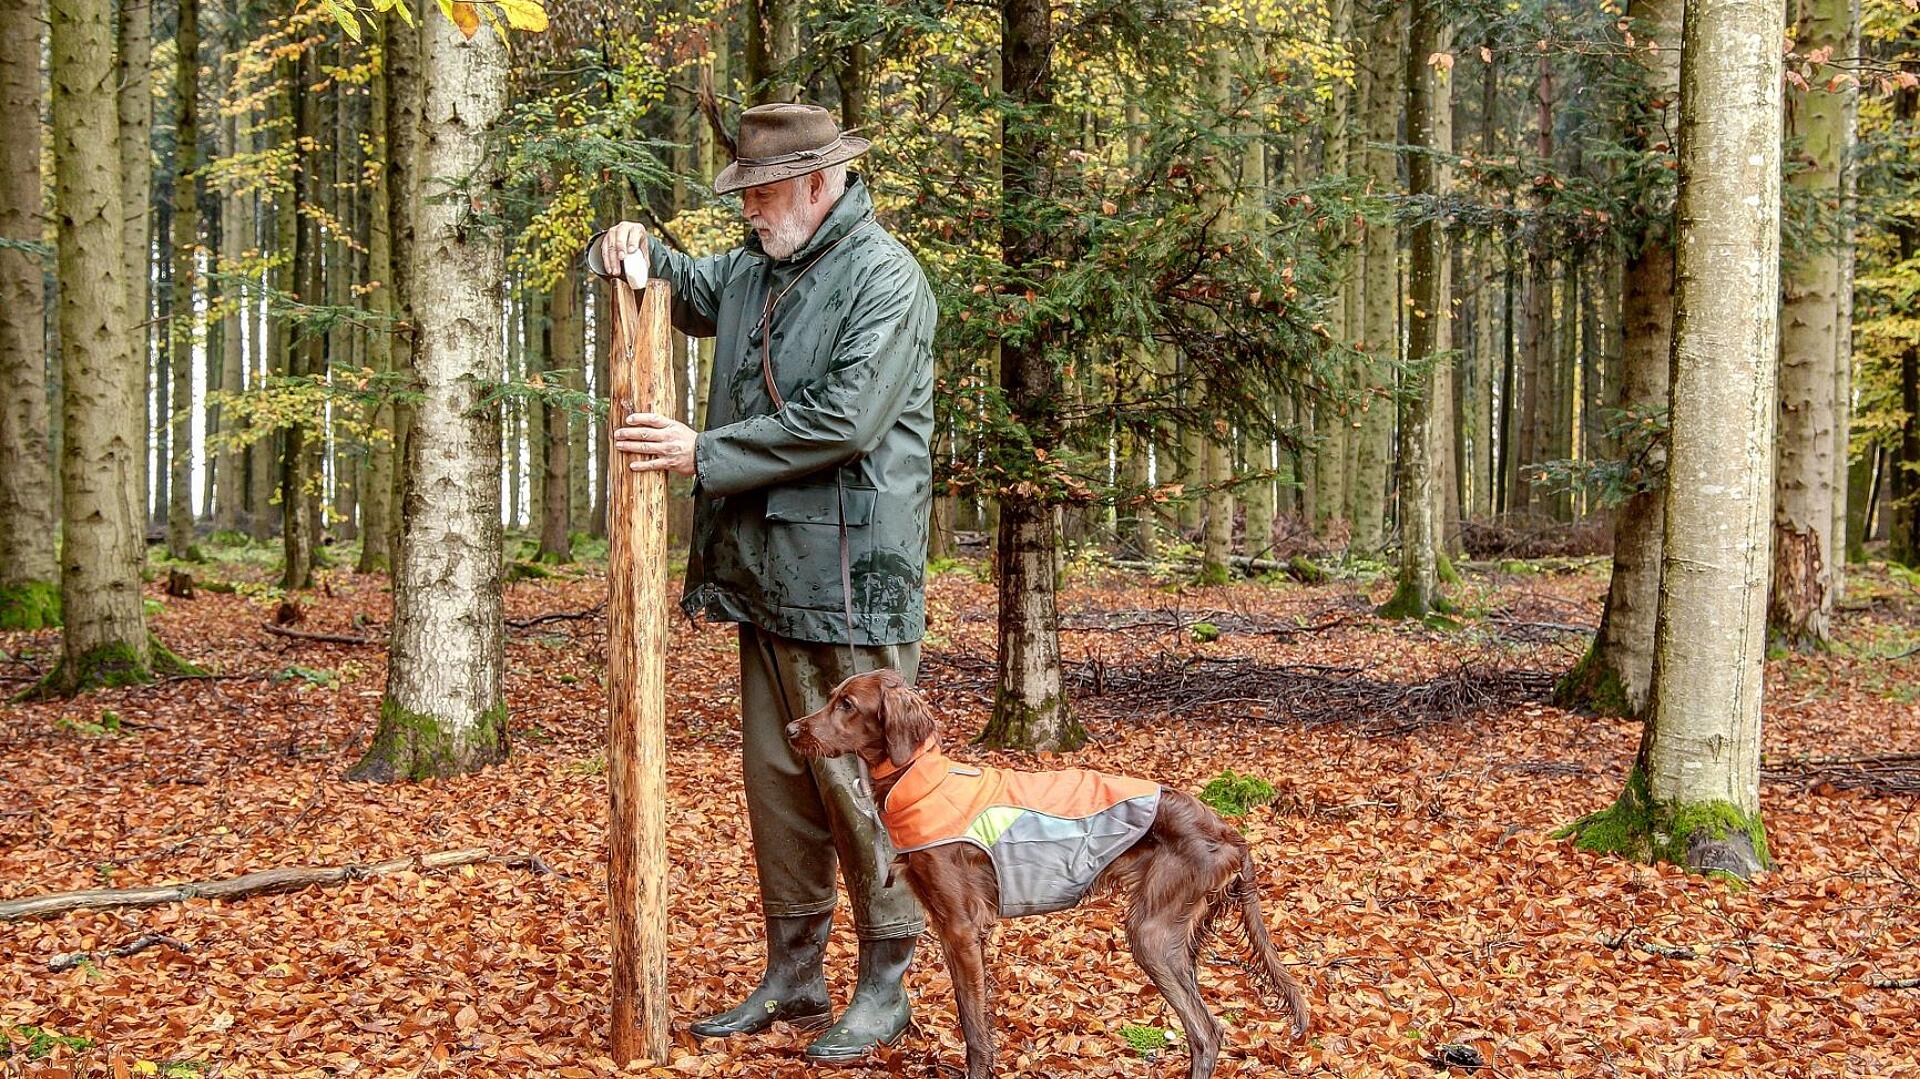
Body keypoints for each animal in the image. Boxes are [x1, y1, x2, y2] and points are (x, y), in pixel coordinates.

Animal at [783, 664, 1305, 1075]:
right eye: (832, 698)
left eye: (847, 704)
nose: (791, 730)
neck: (919, 780)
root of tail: (1228, 833)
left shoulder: (961, 928)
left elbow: (973, 1029)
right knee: (1206, 1031)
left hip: (1153, 934)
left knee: (1206, 1031)